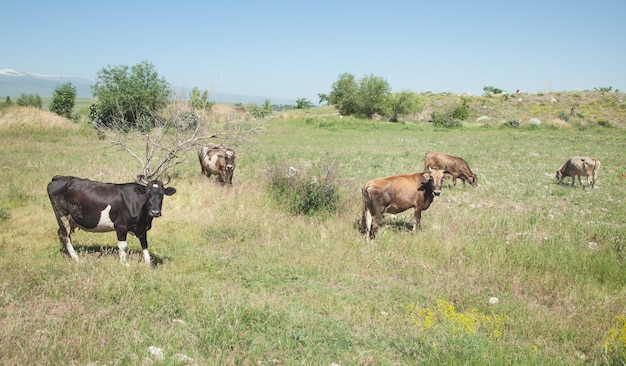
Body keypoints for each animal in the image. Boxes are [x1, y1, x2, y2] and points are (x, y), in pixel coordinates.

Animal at [46, 175, 176, 266]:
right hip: (62, 216)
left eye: (162, 195)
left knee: (61, 234)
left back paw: (67, 254)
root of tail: (59, 177)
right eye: (148, 194)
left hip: (71, 219)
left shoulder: (142, 228)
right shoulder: (121, 226)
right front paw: (124, 264)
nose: (155, 212)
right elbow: (123, 246)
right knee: (65, 235)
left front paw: (148, 263)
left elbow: (144, 245)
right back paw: (75, 257)